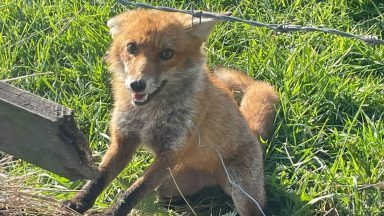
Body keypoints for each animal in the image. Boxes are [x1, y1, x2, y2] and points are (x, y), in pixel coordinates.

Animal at [63, 9, 280, 216]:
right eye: (132, 47)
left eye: (167, 53)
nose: (137, 84)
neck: (147, 116)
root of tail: (253, 131)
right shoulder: (124, 140)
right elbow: (98, 178)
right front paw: (77, 203)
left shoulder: (171, 153)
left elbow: (133, 192)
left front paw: (111, 212)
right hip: (168, 186)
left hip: (242, 194)